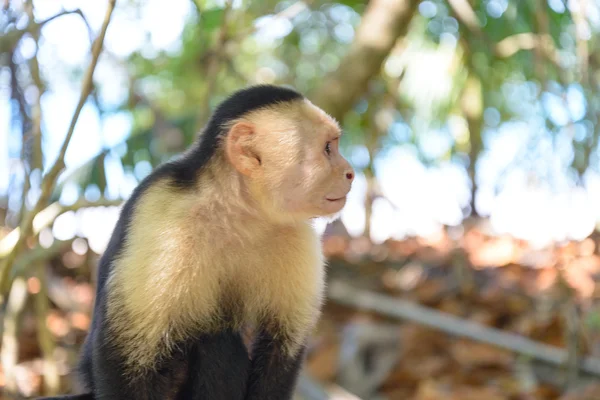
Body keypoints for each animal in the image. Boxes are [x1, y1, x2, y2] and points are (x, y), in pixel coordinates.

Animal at [41, 85, 356, 400]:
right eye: (328, 148)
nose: (350, 173)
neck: (238, 213)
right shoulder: (160, 211)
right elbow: (126, 354)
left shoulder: (297, 235)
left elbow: (281, 347)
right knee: (214, 341)